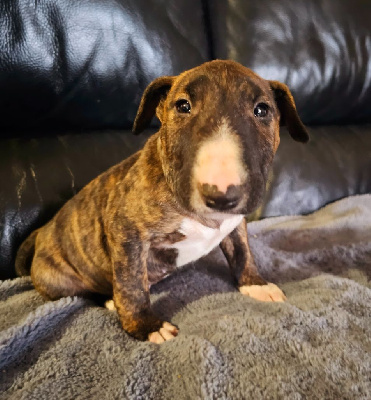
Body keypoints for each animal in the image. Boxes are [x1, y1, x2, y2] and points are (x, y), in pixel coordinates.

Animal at [15, 59, 310, 344]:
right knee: (82, 293)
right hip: (57, 279)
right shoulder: (126, 232)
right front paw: (146, 326)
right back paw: (109, 300)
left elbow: (242, 252)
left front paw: (254, 284)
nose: (221, 192)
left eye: (262, 110)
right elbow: (131, 284)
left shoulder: (236, 223)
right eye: (183, 106)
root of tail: (42, 230)